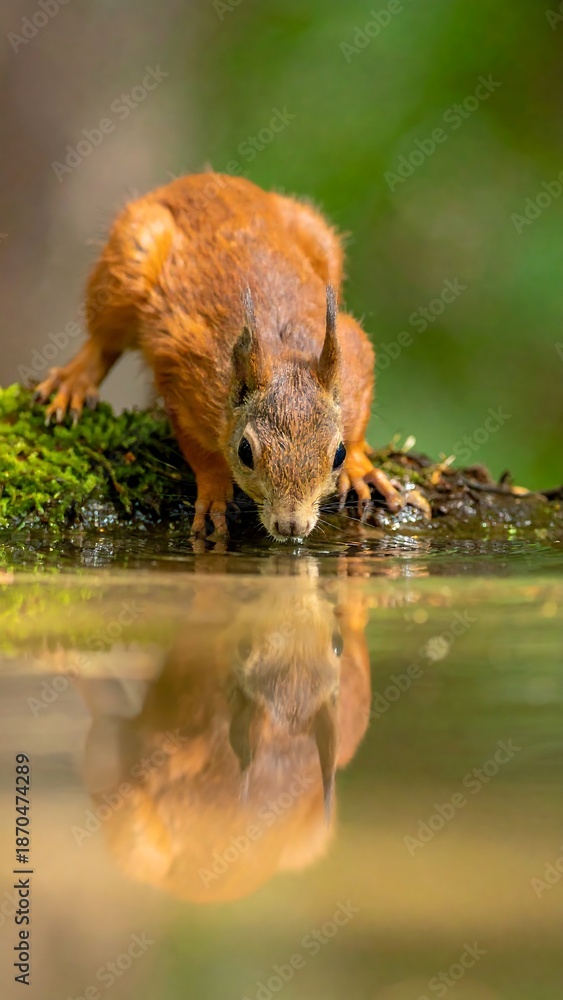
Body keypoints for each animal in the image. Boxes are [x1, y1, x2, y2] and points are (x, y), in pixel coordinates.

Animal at [35, 172, 430, 540]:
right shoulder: (186, 375)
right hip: (127, 263)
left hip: (320, 238)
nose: (291, 526)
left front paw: (363, 468)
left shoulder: (355, 354)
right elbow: (199, 447)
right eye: (244, 451)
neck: (281, 352)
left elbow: (357, 414)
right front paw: (213, 491)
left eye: (338, 455)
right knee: (102, 342)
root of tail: (206, 180)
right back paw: (73, 383)